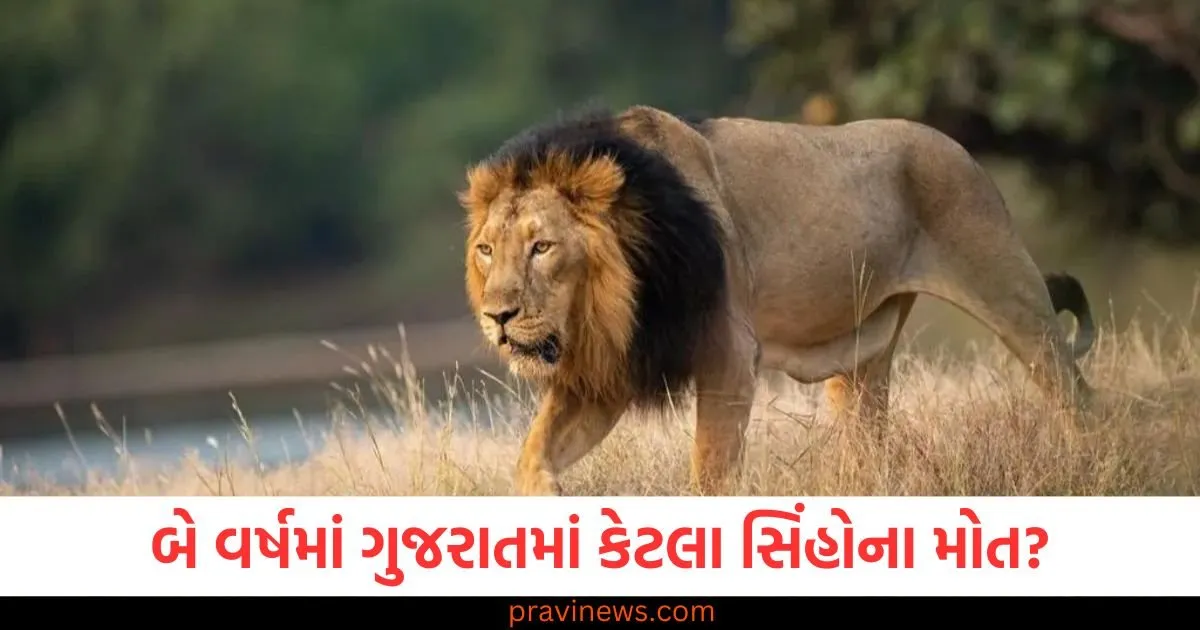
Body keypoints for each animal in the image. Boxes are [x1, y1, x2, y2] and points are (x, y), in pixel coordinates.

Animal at [457, 104, 1096, 496]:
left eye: (542, 247)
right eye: (487, 250)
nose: (497, 317)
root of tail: (957, 146)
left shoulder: (728, 358)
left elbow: (711, 473)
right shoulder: (611, 372)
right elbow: (532, 454)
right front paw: (551, 495)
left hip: (1010, 290)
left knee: (1076, 394)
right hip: (863, 359)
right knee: (869, 444)